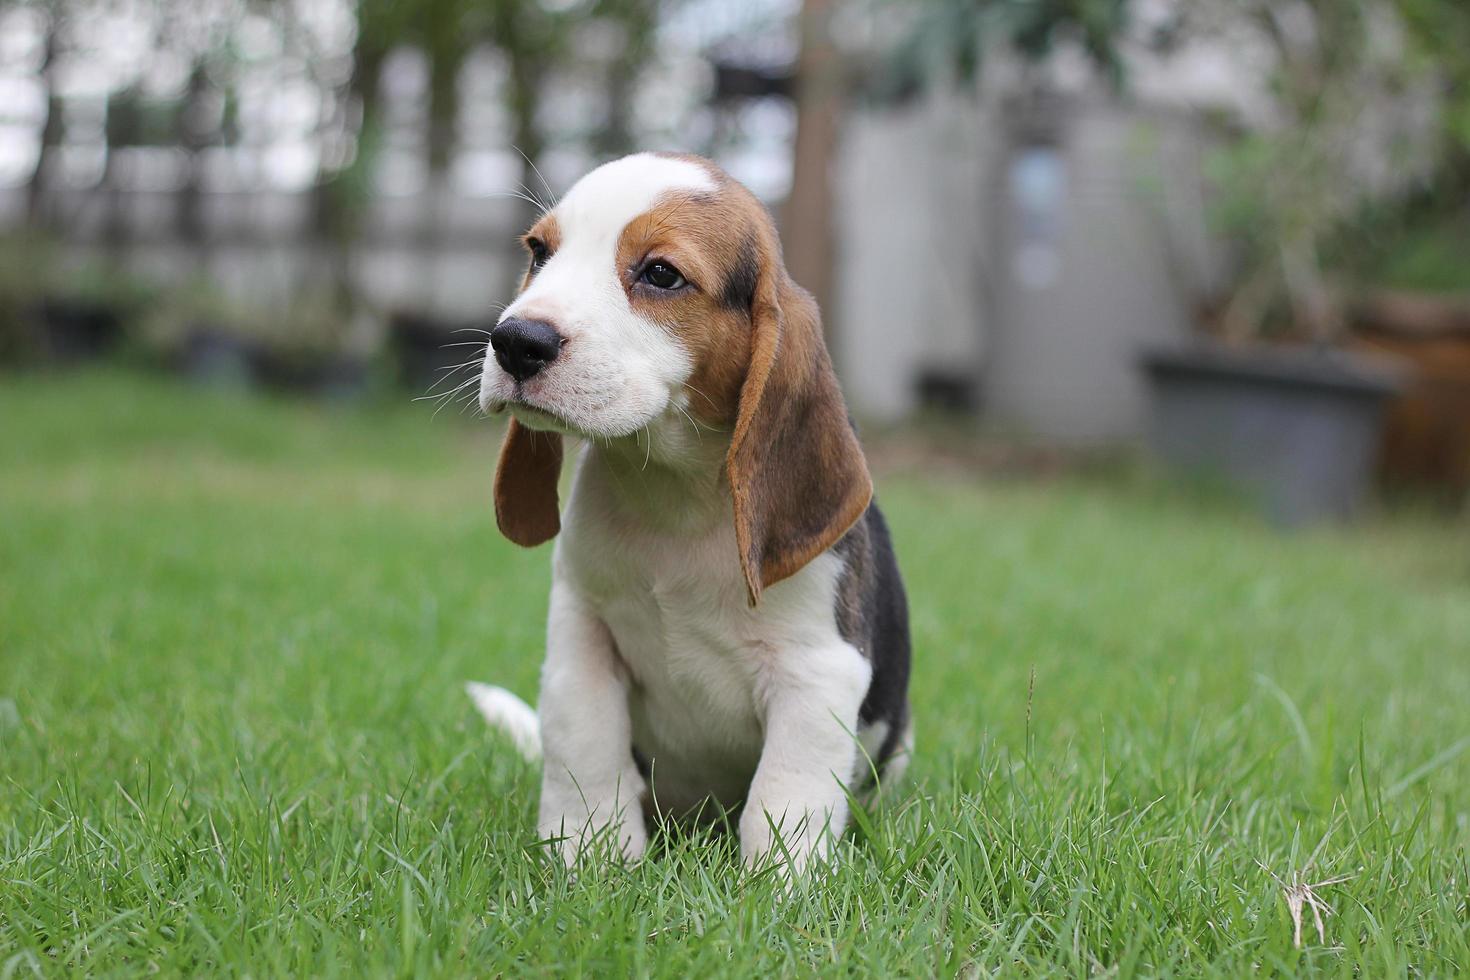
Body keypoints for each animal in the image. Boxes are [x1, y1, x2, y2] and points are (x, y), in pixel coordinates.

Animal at [467, 153, 905, 875]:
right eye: (539, 253)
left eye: (661, 274)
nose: (515, 341)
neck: (675, 498)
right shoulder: (582, 635)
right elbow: (584, 744)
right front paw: (591, 857)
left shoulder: (817, 674)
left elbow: (784, 794)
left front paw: (780, 886)